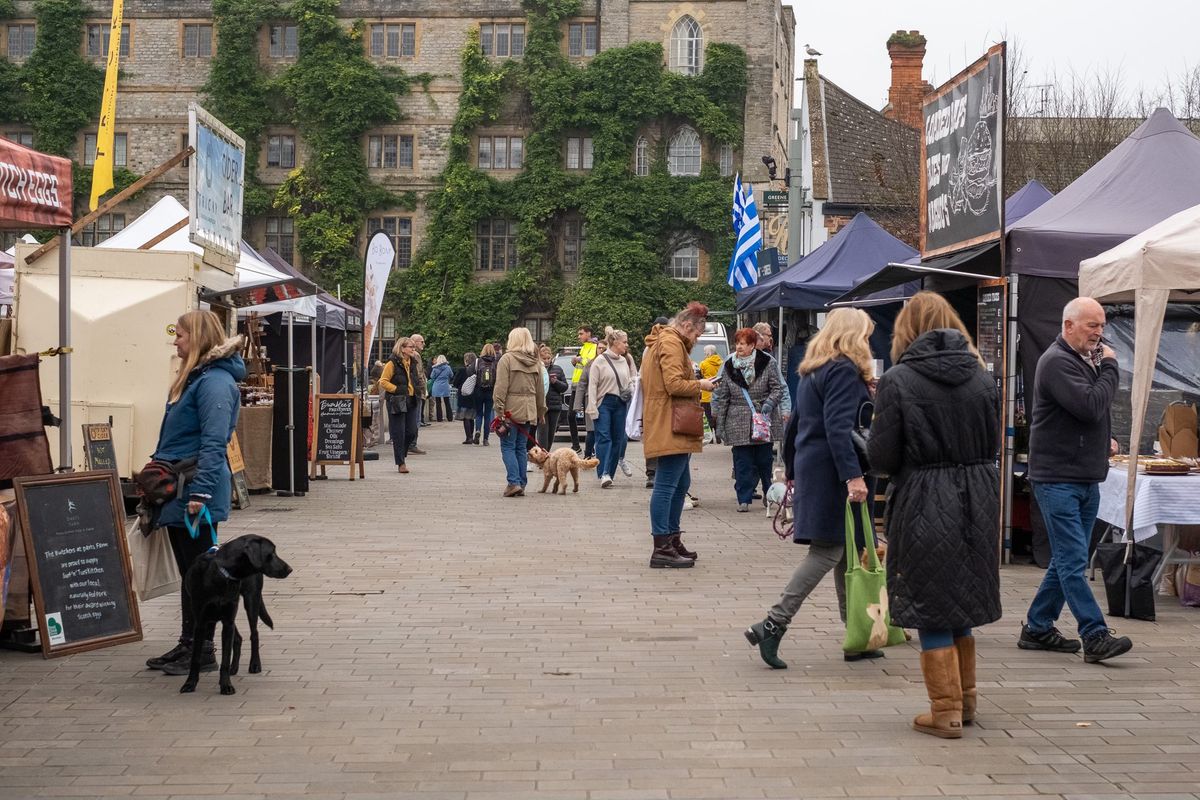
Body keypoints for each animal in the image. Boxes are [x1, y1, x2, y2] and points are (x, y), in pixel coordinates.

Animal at [180, 537, 292, 695]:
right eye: (271, 553)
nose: (290, 569)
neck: (222, 574)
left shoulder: (227, 622)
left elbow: (225, 660)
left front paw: (226, 685)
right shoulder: (202, 623)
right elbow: (195, 658)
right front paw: (190, 683)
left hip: (251, 600)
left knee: (254, 633)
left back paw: (255, 664)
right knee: (238, 638)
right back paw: (234, 668)